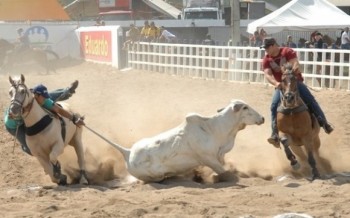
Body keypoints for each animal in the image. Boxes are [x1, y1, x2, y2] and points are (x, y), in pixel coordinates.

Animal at [89, 100, 264, 182]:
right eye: (245, 107)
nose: (262, 118)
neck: (217, 129)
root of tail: (127, 152)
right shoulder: (208, 158)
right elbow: (224, 172)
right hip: (154, 175)